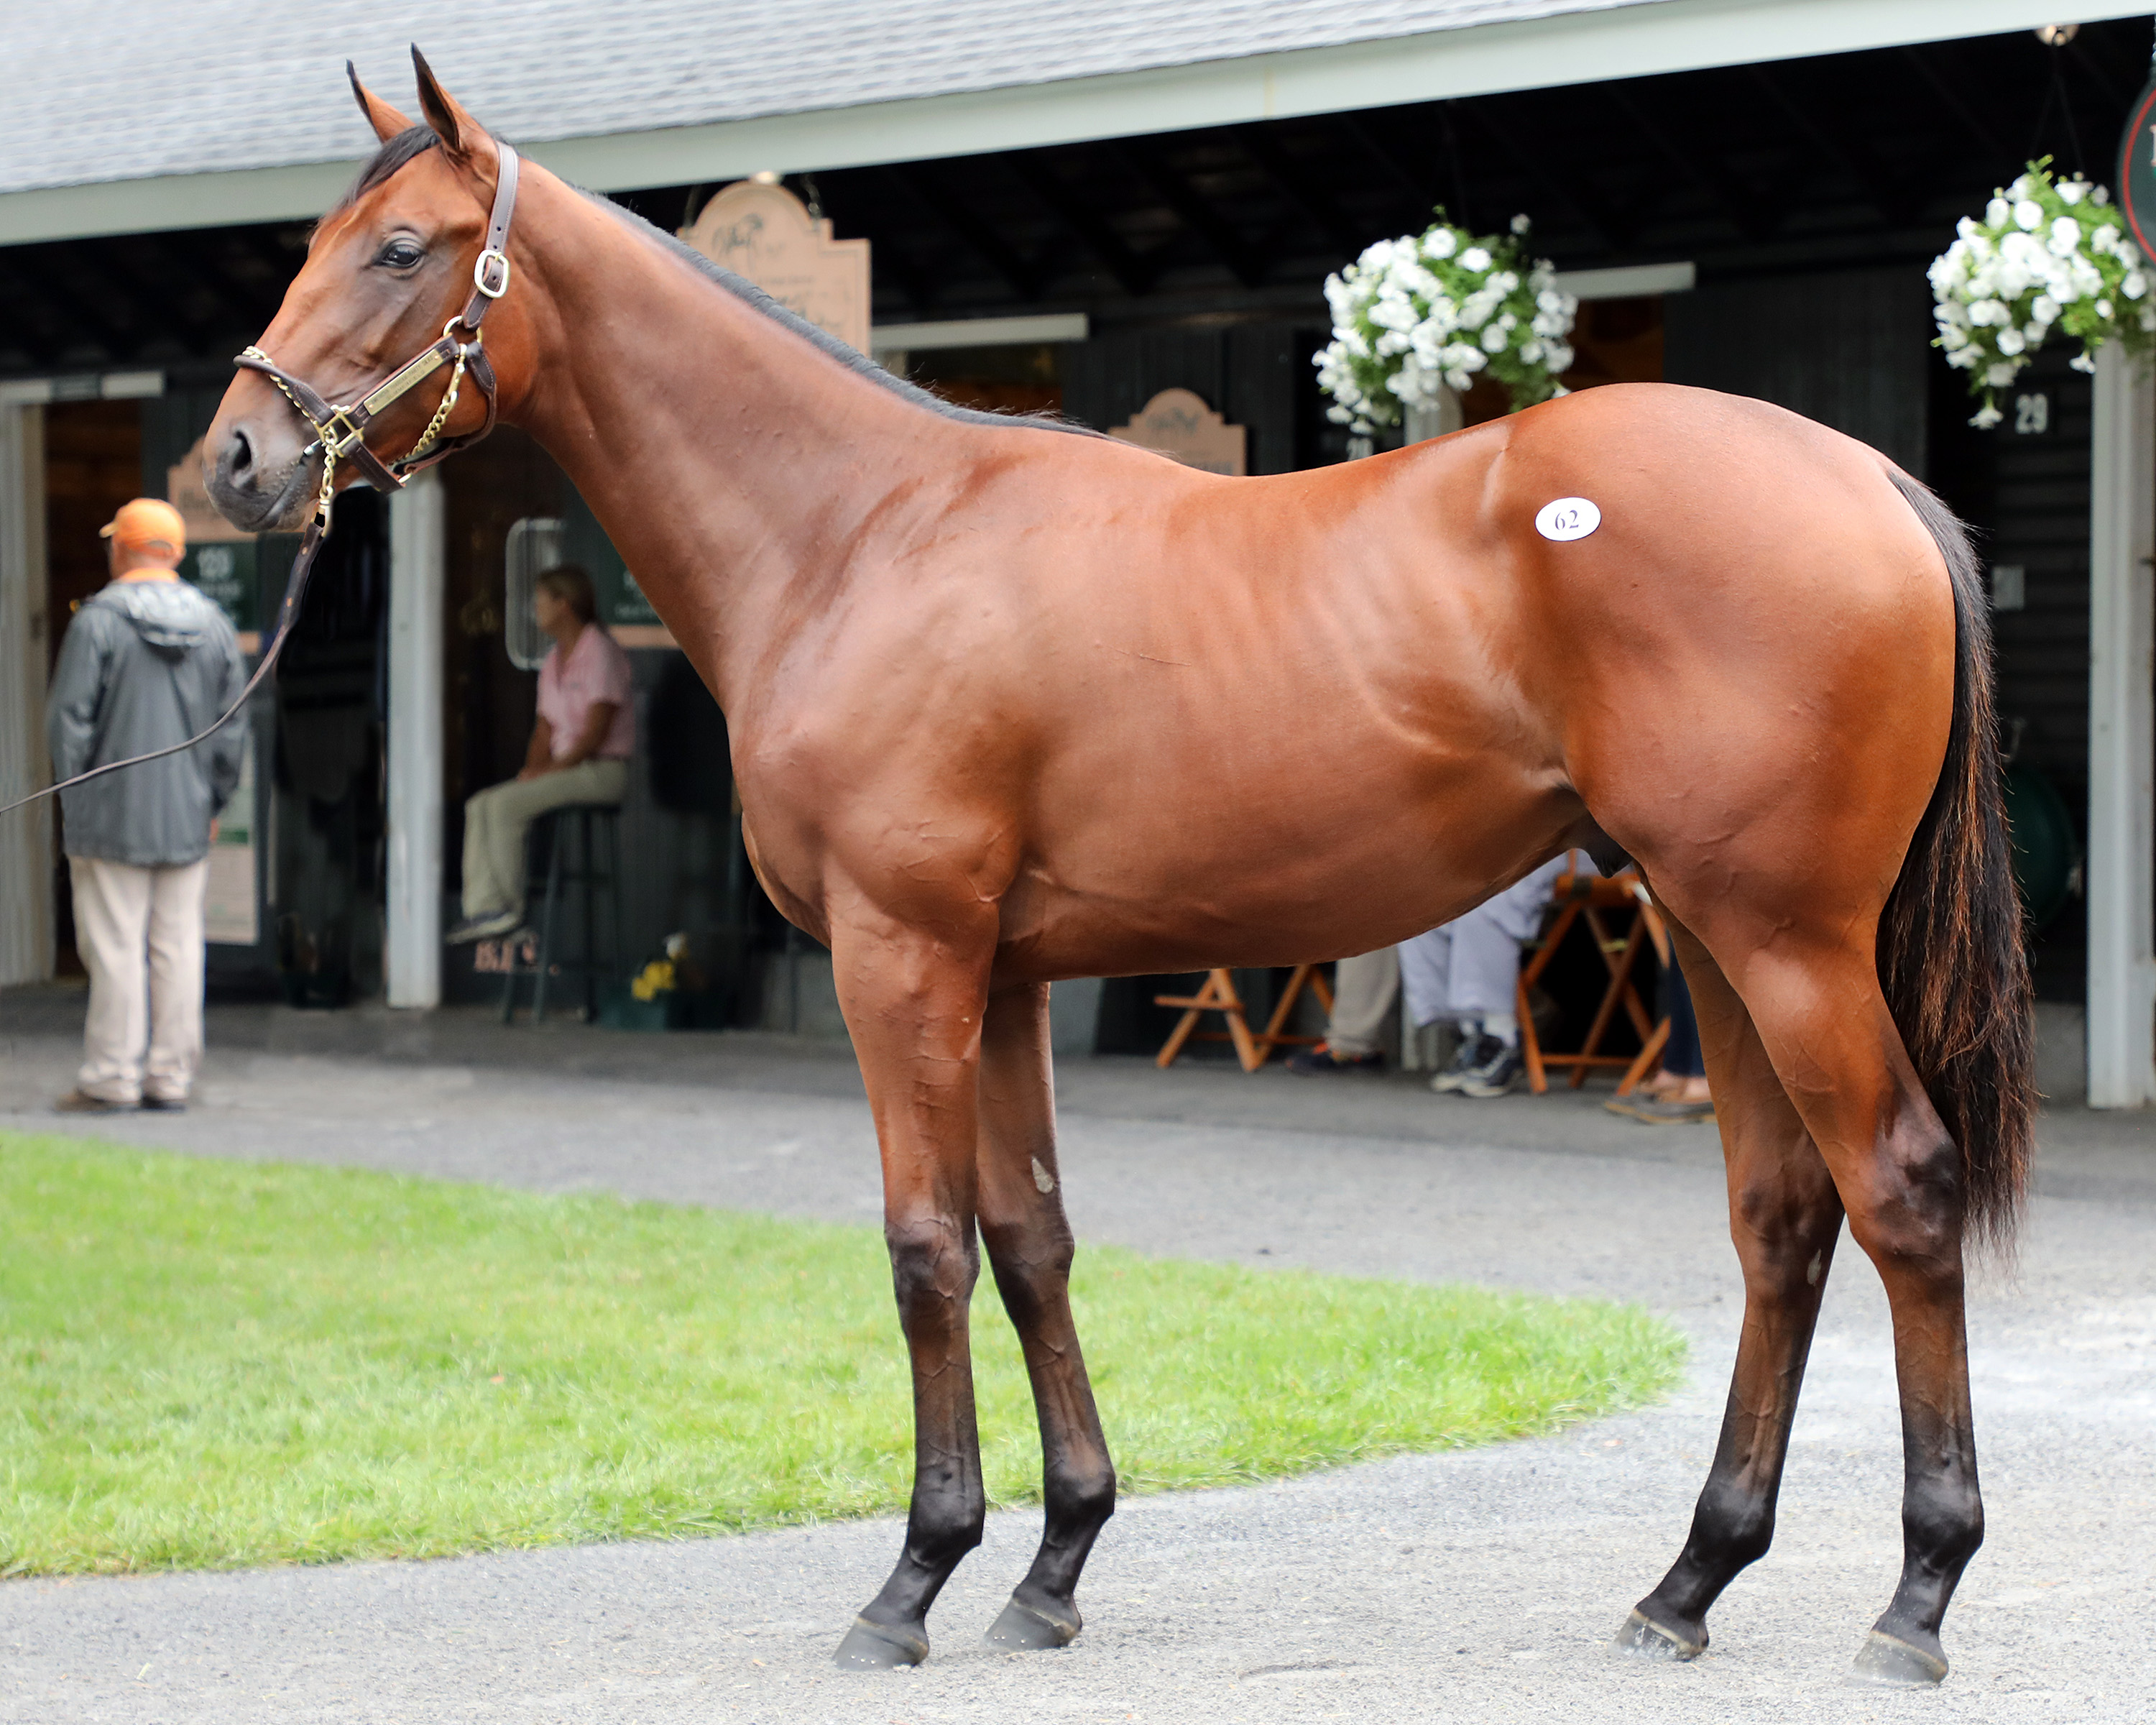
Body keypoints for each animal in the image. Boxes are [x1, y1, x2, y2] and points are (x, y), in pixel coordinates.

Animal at [206, 54, 2035, 1682]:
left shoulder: (902, 957)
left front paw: (912, 1576)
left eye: (400, 247)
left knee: (1899, 1191)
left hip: (1787, 941)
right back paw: (1687, 1580)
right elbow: (1031, 1238)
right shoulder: (1003, 974)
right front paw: (1053, 1562)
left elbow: (925, 1247)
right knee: (1781, 1218)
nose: (233, 461)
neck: (863, 533)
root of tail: (1864, 474)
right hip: (1710, 938)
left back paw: (1918, 1595)